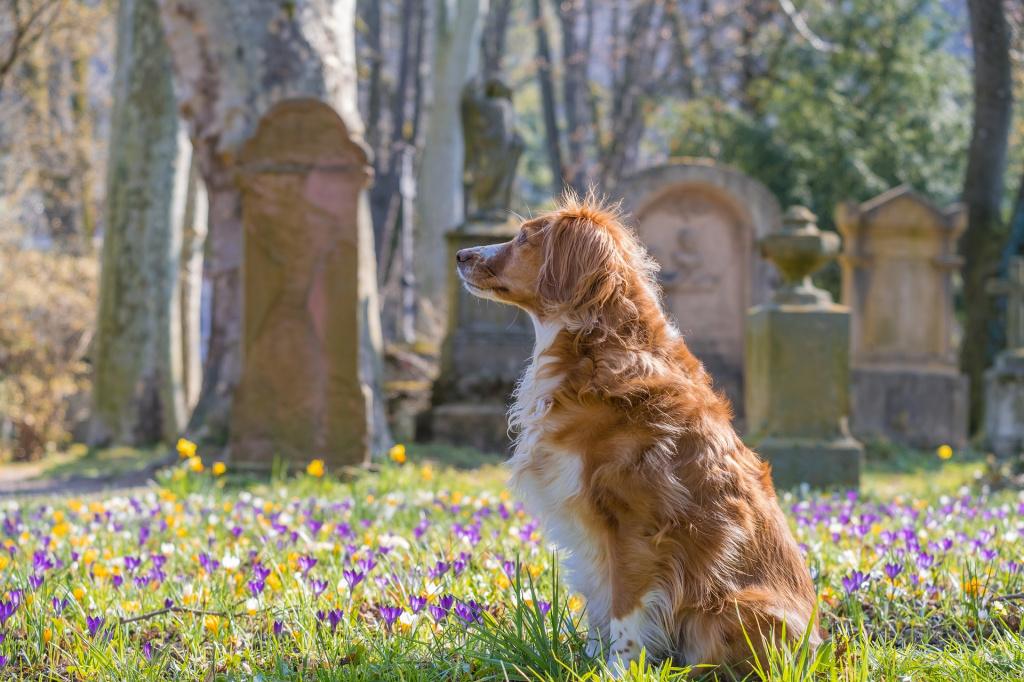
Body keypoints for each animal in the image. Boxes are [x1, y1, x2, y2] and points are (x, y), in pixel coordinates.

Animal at [456, 189, 815, 667]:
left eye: (525, 237)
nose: (460, 254)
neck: (592, 348)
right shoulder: (590, 526)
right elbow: (599, 602)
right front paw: (587, 663)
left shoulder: (637, 523)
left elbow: (625, 609)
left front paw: (617, 669)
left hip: (733, 607)